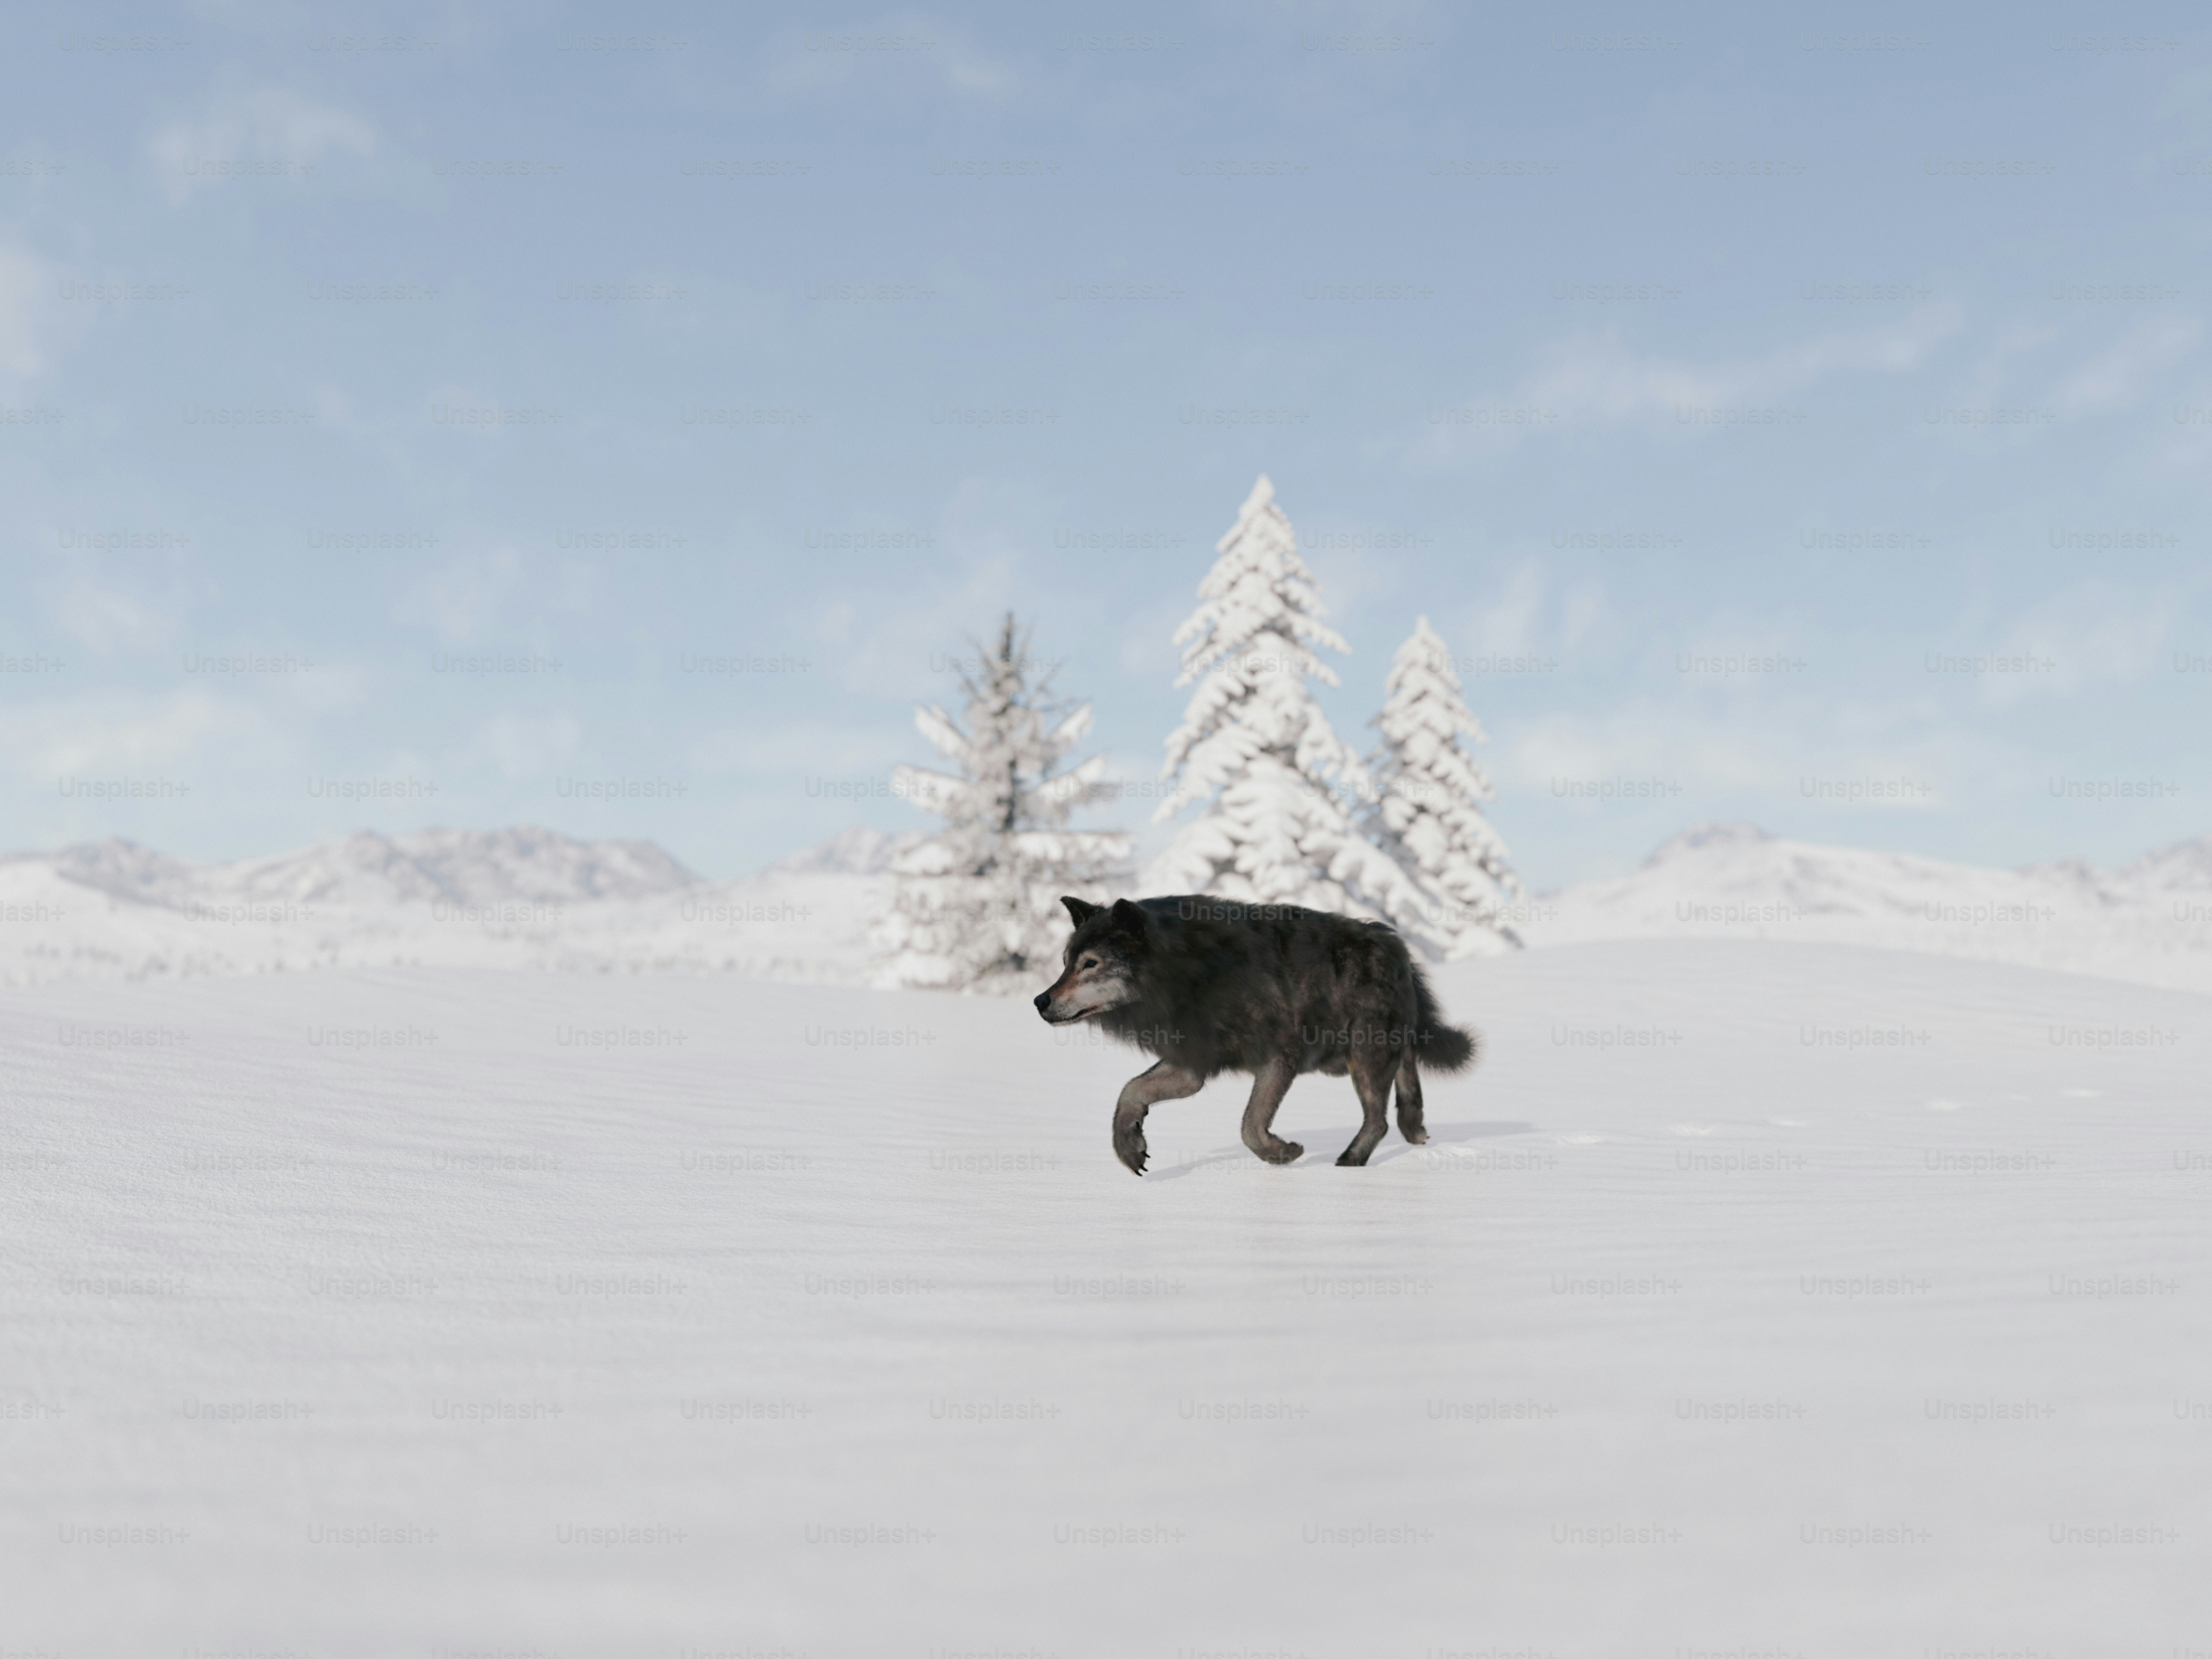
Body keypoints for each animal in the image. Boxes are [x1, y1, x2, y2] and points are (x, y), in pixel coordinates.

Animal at [1033, 895, 1478, 1175]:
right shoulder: (1192, 1064)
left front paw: (1282, 1154)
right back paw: (1415, 1127)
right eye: (1066, 962)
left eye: (1091, 964)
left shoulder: (1282, 1056)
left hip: (1363, 1058)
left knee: (1379, 1120)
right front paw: (1129, 1144)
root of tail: (1394, 943)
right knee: (1406, 1082)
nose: (1040, 1000)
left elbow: (1250, 1125)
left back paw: (1350, 1164)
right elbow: (1130, 1091)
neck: (1188, 975)